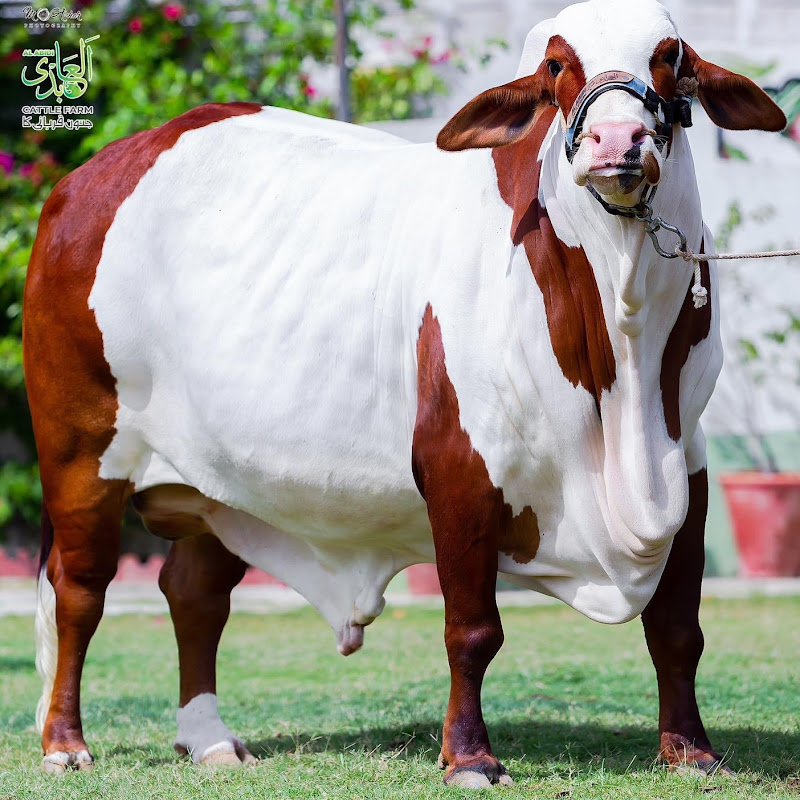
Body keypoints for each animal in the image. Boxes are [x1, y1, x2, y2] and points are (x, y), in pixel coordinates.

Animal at [23, 0, 785, 787]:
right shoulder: (460, 469)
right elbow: (473, 630)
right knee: (78, 589)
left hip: (223, 478)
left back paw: (208, 738)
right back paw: (65, 742)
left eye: (672, 58)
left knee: (194, 592)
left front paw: (690, 750)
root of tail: (89, 178)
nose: (616, 139)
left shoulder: (685, 459)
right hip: (82, 452)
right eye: (555, 67)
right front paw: (470, 756)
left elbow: (678, 628)